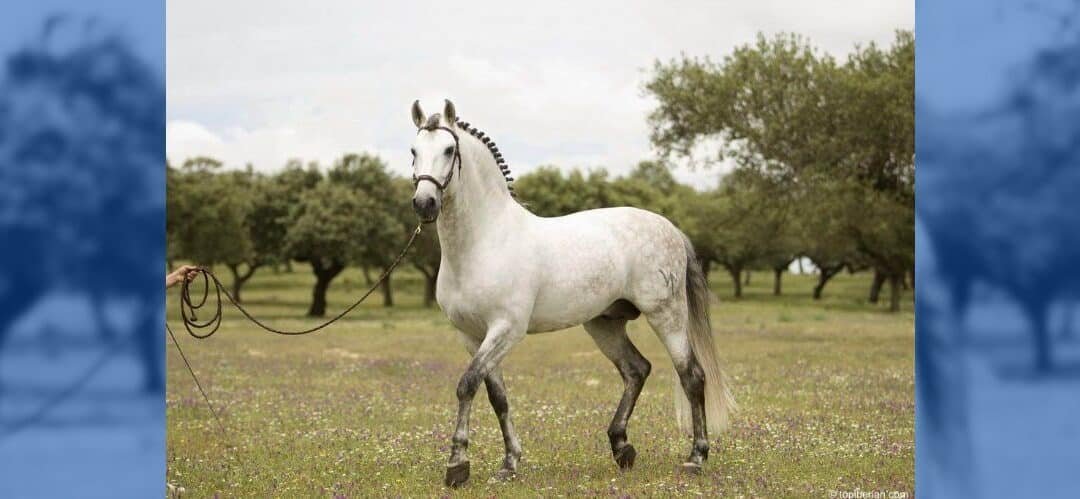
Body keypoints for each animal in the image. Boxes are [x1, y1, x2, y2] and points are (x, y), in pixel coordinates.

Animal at [408, 99, 736, 487]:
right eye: (413, 151)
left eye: (448, 150)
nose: (424, 203)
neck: (485, 240)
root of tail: (668, 226)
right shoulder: (471, 336)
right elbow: (497, 396)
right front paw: (509, 463)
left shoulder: (506, 330)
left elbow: (467, 384)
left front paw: (457, 464)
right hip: (604, 324)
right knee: (636, 370)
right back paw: (622, 447)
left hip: (666, 316)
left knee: (691, 376)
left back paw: (696, 457)